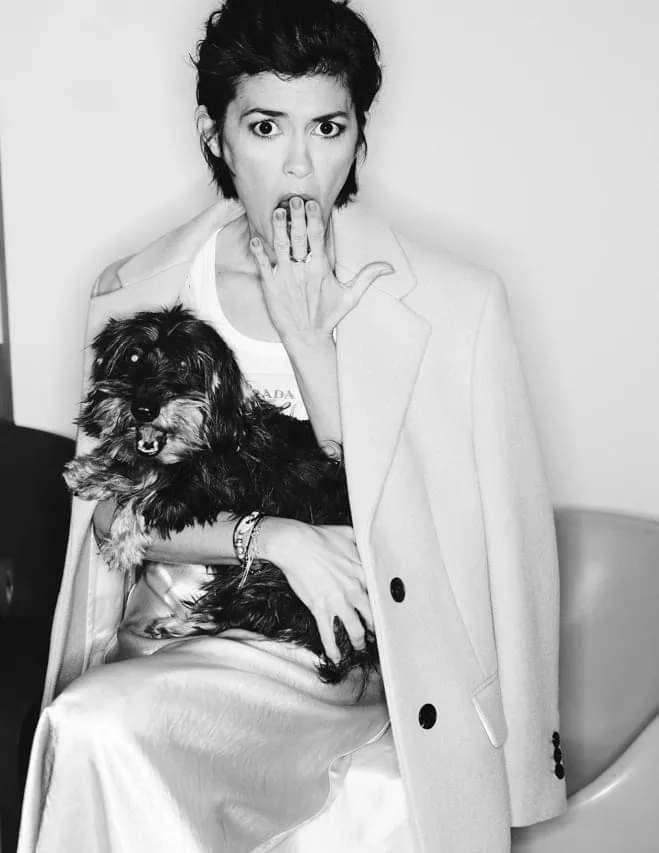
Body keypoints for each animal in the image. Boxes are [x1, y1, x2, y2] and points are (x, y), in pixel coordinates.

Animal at [64, 304, 379, 688]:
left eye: (184, 366)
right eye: (133, 357)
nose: (143, 409)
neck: (215, 439)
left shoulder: (205, 489)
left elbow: (147, 494)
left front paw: (122, 543)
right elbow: (141, 470)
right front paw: (92, 470)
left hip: (268, 576)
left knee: (236, 612)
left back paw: (177, 623)